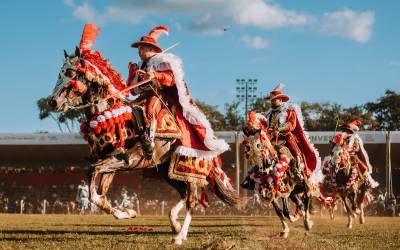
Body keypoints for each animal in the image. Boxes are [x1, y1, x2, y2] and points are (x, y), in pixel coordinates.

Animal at [49, 41, 238, 244]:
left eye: (70, 72)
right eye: (59, 73)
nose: (52, 102)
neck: (110, 116)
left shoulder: (123, 160)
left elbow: (93, 184)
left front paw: (126, 212)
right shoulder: (110, 165)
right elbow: (100, 194)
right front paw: (127, 212)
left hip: (188, 169)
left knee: (192, 199)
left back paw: (180, 236)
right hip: (166, 172)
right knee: (184, 193)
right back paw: (175, 224)